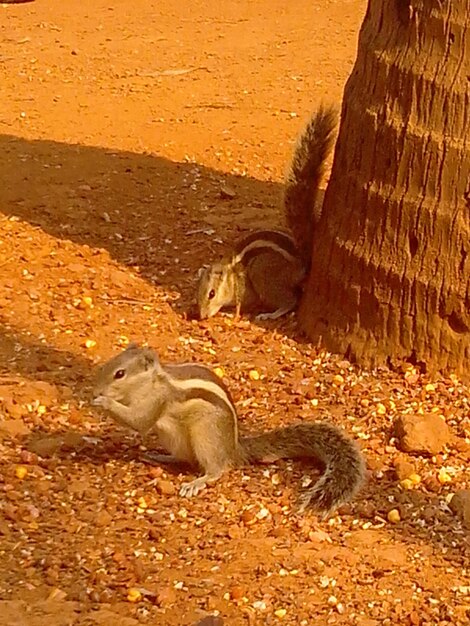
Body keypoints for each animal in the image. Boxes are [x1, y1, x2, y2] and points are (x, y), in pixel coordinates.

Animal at [91, 344, 364, 516]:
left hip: (205, 437)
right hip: (177, 440)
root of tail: (234, 448)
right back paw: (160, 456)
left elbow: (139, 420)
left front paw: (103, 402)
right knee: (185, 459)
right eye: (108, 365)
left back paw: (197, 482)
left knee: (216, 469)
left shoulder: (156, 402)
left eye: (120, 374)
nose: (96, 389)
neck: (151, 382)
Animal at [195, 103, 338, 320]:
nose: (201, 316)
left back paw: (270, 314)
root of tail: (303, 260)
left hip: (263, 273)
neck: (230, 276)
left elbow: (242, 305)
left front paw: (232, 314)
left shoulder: (245, 289)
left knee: (290, 301)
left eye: (212, 293)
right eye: (198, 293)